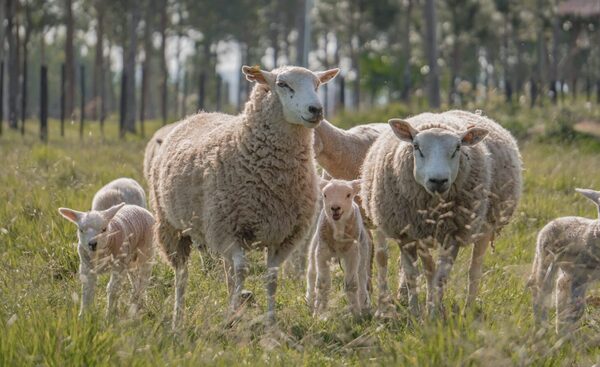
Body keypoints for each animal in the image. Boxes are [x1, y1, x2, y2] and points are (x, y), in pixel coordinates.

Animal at [150, 64, 340, 326]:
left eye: (317, 85)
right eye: (282, 84)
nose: (316, 110)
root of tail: (199, 114)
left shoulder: (284, 236)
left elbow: (271, 278)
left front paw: (270, 321)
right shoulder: (228, 230)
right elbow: (242, 272)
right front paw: (230, 318)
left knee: (226, 272)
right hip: (172, 227)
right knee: (182, 274)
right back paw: (178, 318)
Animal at [308, 178, 372, 316]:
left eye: (348, 195)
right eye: (325, 195)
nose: (335, 208)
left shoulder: (353, 253)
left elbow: (351, 284)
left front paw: (356, 313)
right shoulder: (322, 252)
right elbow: (323, 284)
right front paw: (318, 313)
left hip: (363, 248)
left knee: (362, 276)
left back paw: (364, 305)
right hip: (315, 244)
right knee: (311, 272)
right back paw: (309, 302)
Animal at [358, 110, 524, 316]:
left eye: (458, 147)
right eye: (416, 146)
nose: (438, 180)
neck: (433, 209)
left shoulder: (452, 235)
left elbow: (441, 276)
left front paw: (434, 313)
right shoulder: (407, 234)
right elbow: (416, 274)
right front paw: (416, 312)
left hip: (486, 226)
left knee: (474, 270)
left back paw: (468, 309)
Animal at [528, 190, 600, 336]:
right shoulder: (578, 275)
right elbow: (575, 307)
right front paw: (563, 331)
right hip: (545, 261)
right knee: (540, 289)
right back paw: (541, 325)